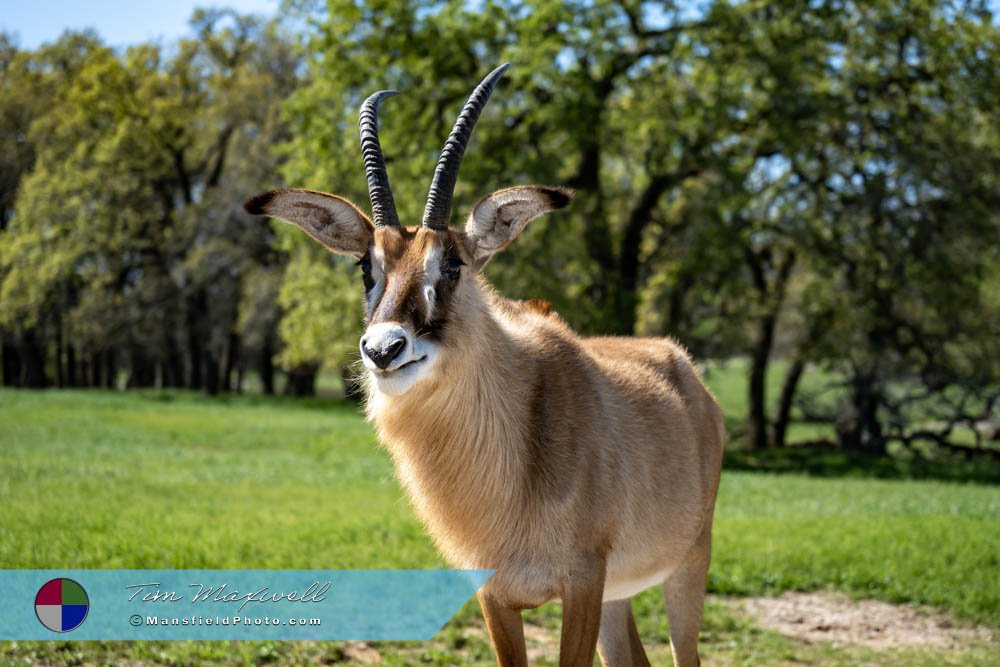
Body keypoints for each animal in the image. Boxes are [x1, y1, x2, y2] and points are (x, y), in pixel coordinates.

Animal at [246, 64, 724, 667]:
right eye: (366, 268)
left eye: (452, 264)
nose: (383, 349)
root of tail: (687, 372)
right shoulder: (494, 594)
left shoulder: (582, 582)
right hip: (621, 595)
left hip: (686, 568)